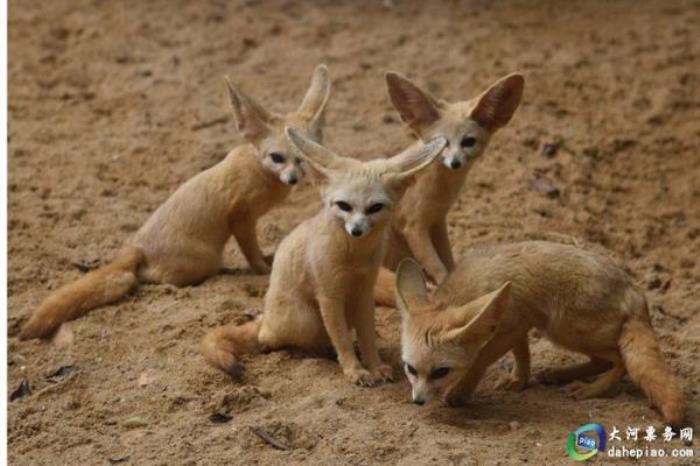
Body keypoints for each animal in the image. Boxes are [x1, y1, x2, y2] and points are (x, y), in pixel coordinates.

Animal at [19, 65, 330, 340]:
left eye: (302, 159)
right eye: (277, 157)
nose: (292, 178)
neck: (260, 171)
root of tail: (136, 246)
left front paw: (267, 259)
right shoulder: (240, 215)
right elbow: (251, 251)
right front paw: (262, 269)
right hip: (206, 259)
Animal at [200, 128, 446, 386]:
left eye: (375, 208)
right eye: (344, 206)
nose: (356, 230)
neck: (354, 256)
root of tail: (266, 319)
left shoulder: (364, 293)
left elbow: (367, 337)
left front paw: (375, 366)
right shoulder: (329, 296)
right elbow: (341, 339)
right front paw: (354, 370)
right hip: (306, 320)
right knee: (271, 340)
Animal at [380, 72, 524, 288]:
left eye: (468, 142)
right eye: (442, 142)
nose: (455, 162)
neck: (440, 191)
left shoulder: (438, 221)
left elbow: (449, 263)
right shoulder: (413, 225)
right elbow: (438, 268)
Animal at [396, 242, 688, 428]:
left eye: (441, 372)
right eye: (410, 369)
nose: (418, 401)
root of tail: (635, 290)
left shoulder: (513, 325)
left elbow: (480, 359)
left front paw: (461, 391)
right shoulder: (520, 323)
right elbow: (522, 354)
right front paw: (519, 380)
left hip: (565, 329)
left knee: (619, 360)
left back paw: (592, 389)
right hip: (562, 331)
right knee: (603, 360)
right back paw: (559, 375)